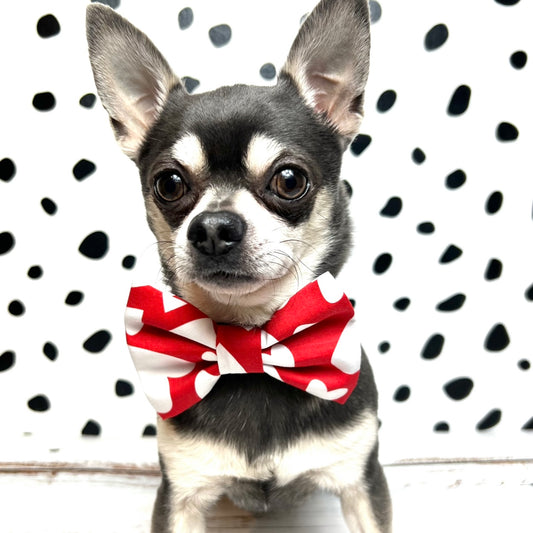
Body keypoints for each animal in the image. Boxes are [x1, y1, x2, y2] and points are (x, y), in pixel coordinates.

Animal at [85, 0, 388, 528]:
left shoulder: (363, 483)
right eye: (168, 184)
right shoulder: (179, 493)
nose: (212, 228)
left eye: (289, 179)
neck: (249, 336)